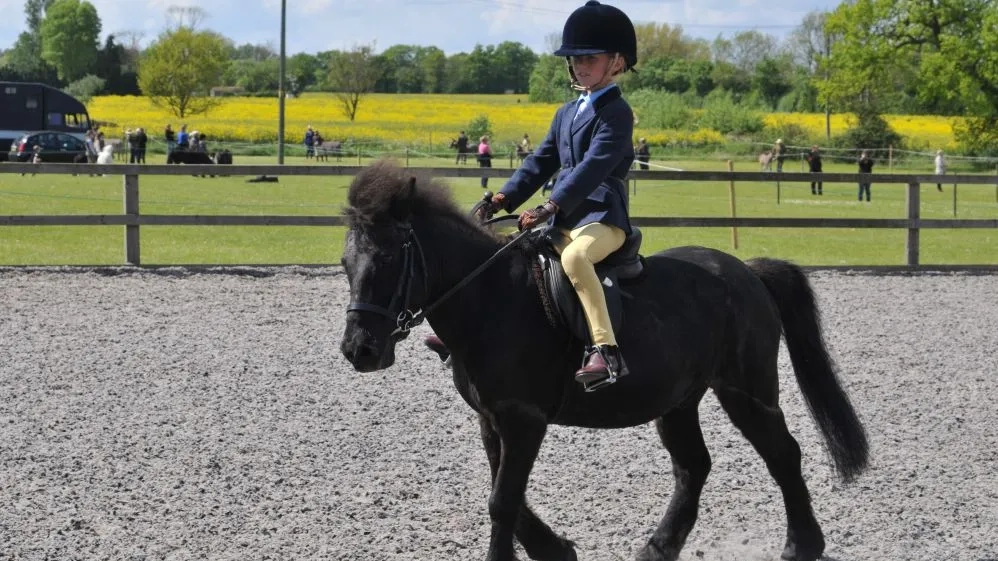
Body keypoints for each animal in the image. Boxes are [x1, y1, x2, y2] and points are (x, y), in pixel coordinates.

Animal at [339, 160, 869, 561]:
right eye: (346, 263)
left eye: (389, 259)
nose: (359, 350)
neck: (490, 298)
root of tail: (747, 272)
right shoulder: (493, 418)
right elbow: (507, 493)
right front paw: (555, 550)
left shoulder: (523, 419)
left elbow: (502, 500)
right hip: (679, 401)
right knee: (693, 466)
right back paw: (658, 548)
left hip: (747, 392)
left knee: (783, 454)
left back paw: (802, 545)